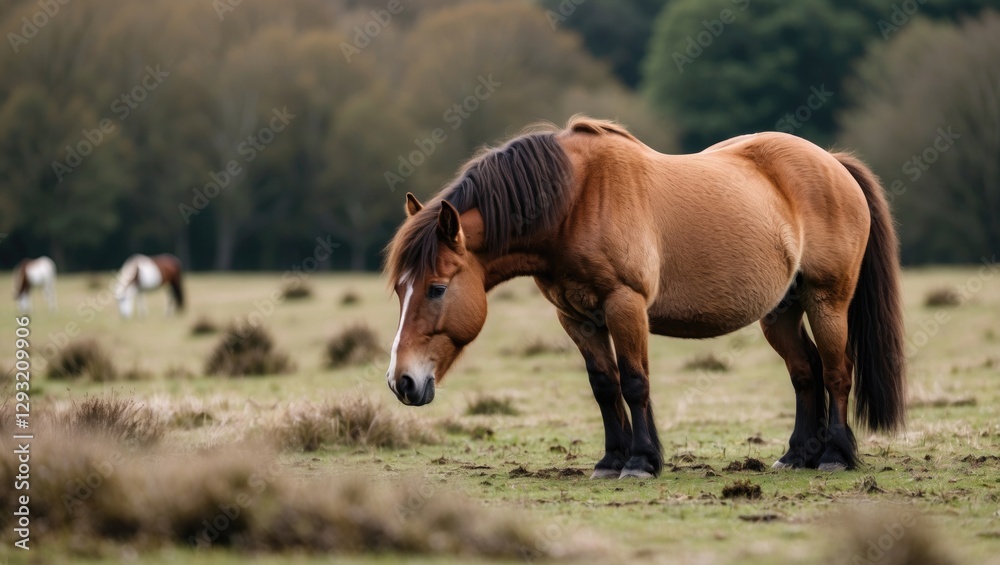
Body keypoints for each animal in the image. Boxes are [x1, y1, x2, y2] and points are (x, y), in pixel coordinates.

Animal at [383, 116, 906, 479]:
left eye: (436, 288)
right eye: (399, 289)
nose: (401, 382)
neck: (576, 201)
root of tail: (833, 163)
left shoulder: (624, 304)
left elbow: (635, 383)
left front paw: (640, 461)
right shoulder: (577, 318)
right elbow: (604, 385)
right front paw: (612, 460)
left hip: (827, 300)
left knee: (836, 372)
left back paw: (835, 455)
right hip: (780, 312)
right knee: (805, 373)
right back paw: (797, 455)